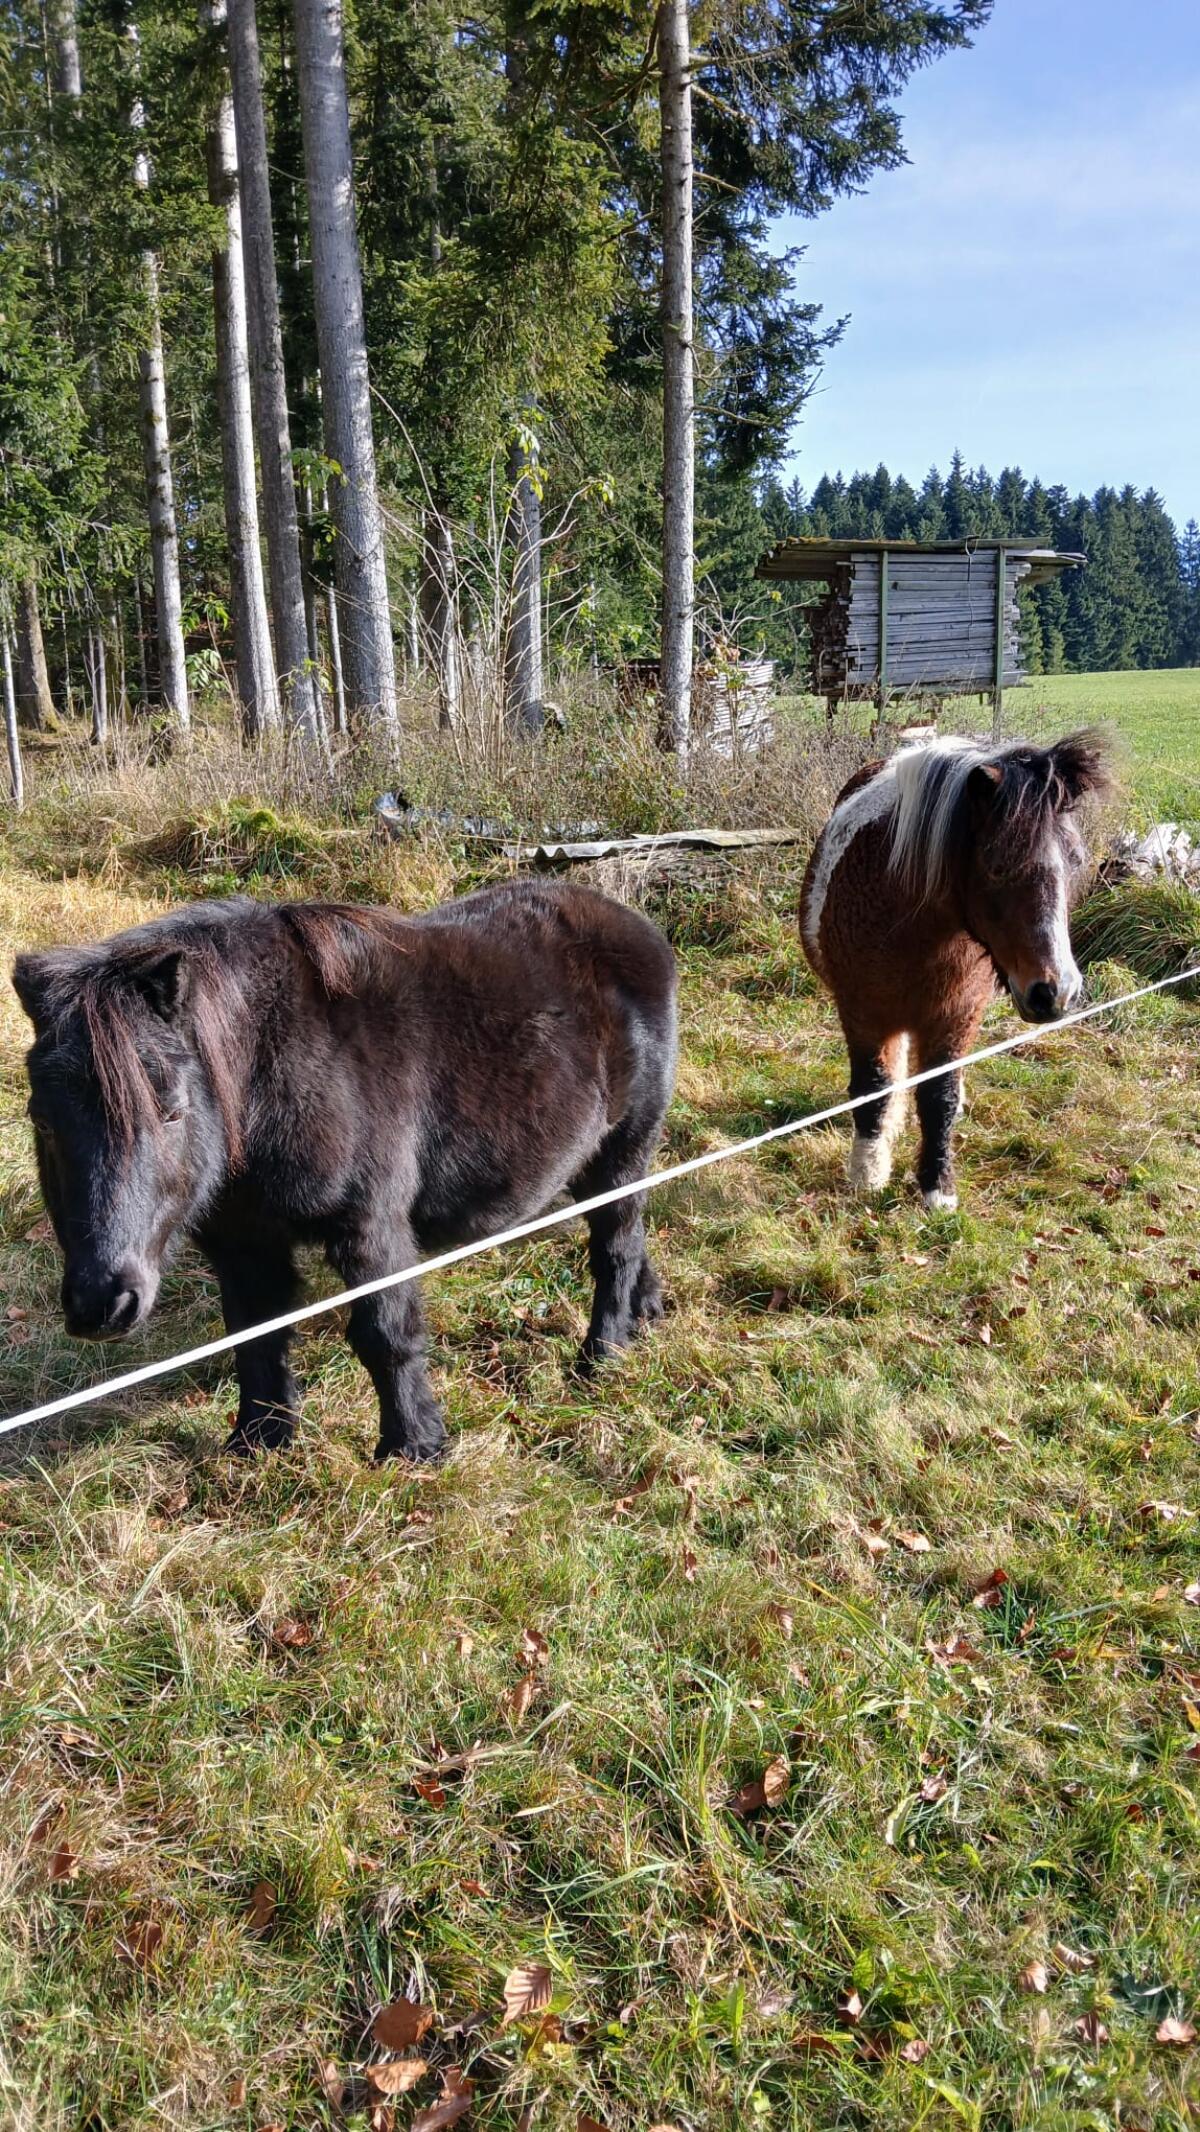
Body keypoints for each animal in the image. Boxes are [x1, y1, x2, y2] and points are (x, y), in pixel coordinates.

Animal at [12, 880, 678, 1462]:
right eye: (41, 1121)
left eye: (171, 1111)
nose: (103, 1305)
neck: (273, 1078)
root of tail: (635, 926)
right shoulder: (243, 1243)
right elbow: (254, 1333)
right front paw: (258, 1443)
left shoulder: (370, 1230)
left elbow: (385, 1334)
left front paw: (414, 1449)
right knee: (629, 1233)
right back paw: (646, 1311)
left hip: (624, 1148)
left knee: (615, 1243)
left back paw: (602, 1356)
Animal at [800, 730, 1113, 1210]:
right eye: (997, 865)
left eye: (1076, 860)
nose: (1055, 993)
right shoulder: (863, 1014)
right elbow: (874, 1086)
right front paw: (868, 1172)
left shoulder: (955, 1017)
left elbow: (938, 1095)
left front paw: (937, 1188)